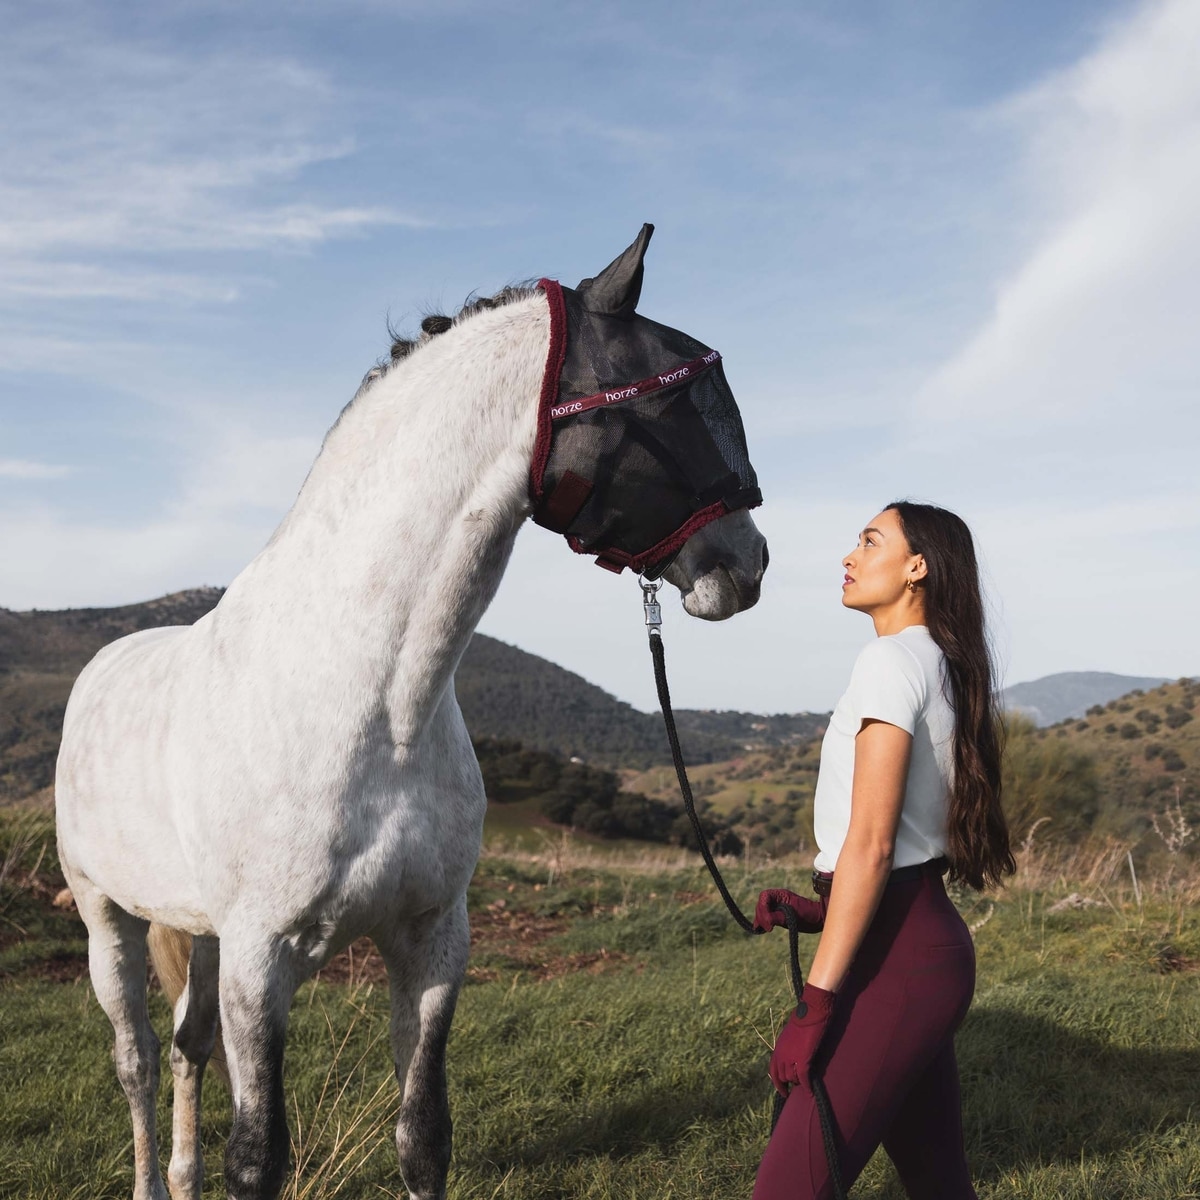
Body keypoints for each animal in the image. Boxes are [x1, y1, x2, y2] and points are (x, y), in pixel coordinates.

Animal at [55, 225, 768, 1200]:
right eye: (675, 397)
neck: (370, 705)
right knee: (132, 1057)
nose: (750, 562)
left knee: (185, 1048)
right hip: (107, 919)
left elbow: (422, 1136)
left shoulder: (431, 940)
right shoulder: (259, 958)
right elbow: (258, 1158)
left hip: (195, 929)